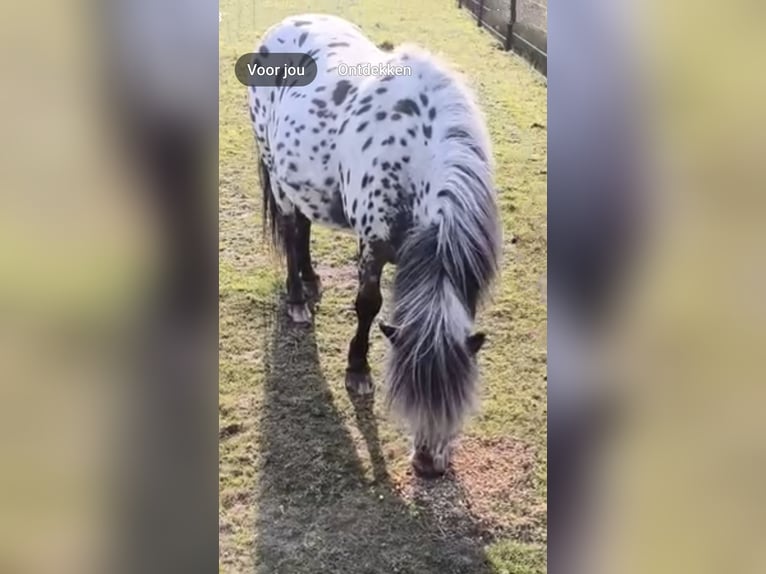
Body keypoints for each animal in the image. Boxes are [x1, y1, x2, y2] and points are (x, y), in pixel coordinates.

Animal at [248, 14, 501, 478]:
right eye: (409, 392)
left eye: (455, 399)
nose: (428, 465)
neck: (415, 155)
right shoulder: (373, 242)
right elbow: (368, 304)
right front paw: (358, 370)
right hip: (276, 173)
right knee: (292, 232)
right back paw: (297, 300)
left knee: (304, 229)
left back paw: (311, 280)